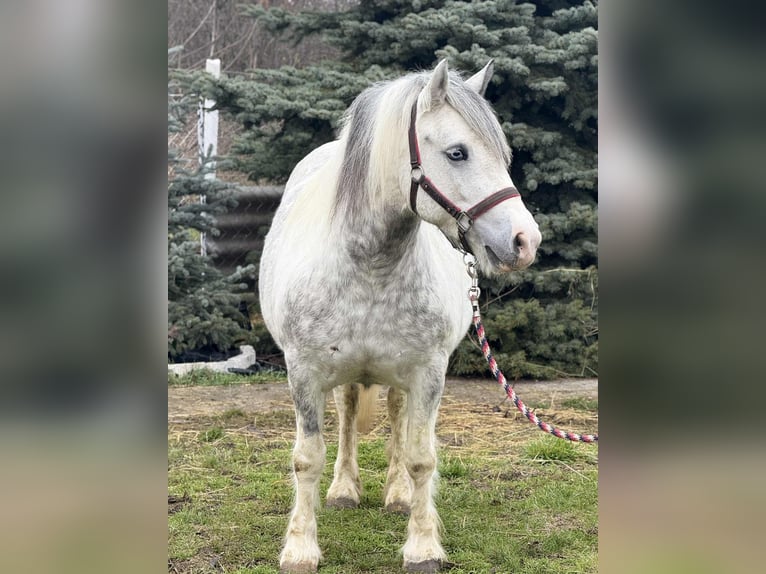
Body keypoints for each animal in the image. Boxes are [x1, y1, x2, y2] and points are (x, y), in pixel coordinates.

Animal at [259, 60, 542, 573]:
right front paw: (300, 547)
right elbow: (307, 457)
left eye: (504, 155)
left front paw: (422, 545)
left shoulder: (428, 372)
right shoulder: (303, 372)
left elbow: (419, 455)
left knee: (395, 416)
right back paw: (344, 490)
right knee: (349, 412)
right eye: (457, 152)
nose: (525, 241)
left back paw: (396, 494)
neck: (370, 264)